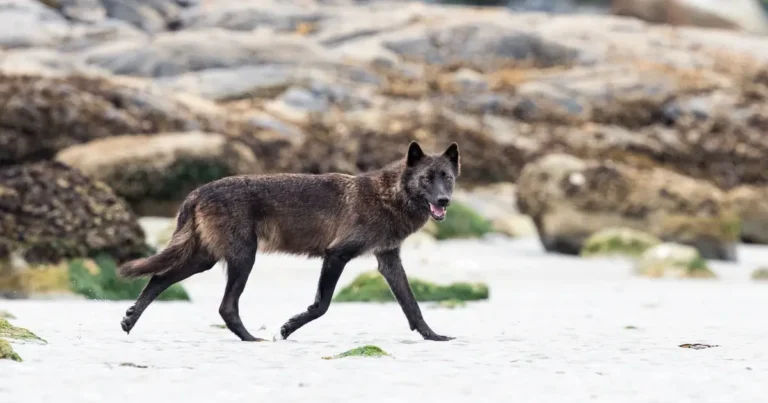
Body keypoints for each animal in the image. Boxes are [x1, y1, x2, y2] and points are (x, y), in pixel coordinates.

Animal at [118, 141, 460, 342]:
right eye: (426, 179)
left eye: (447, 177)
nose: (444, 201)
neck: (389, 197)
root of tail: (197, 191)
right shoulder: (336, 255)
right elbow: (321, 305)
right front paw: (286, 328)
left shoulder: (388, 261)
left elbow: (412, 305)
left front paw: (433, 336)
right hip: (243, 258)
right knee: (225, 306)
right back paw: (251, 339)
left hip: (205, 259)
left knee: (159, 278)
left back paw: (130, 320)